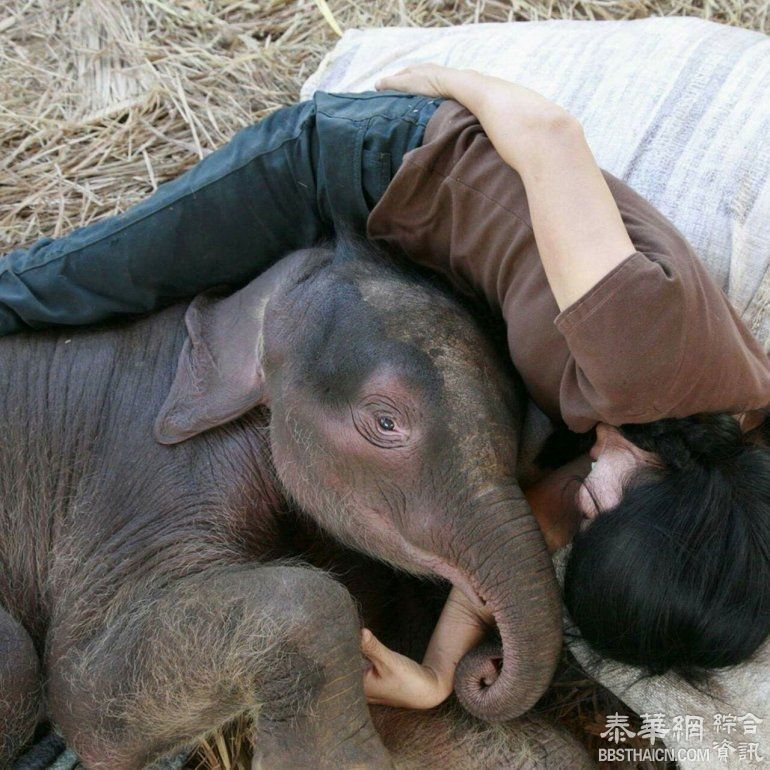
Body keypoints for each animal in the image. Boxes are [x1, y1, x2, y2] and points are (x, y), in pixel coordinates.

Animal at [0, 240, 580, 768]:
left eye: (535, 435)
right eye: (386, 423)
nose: (488, 666)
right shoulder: (139, 477)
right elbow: (80, 694)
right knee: (20, 665)